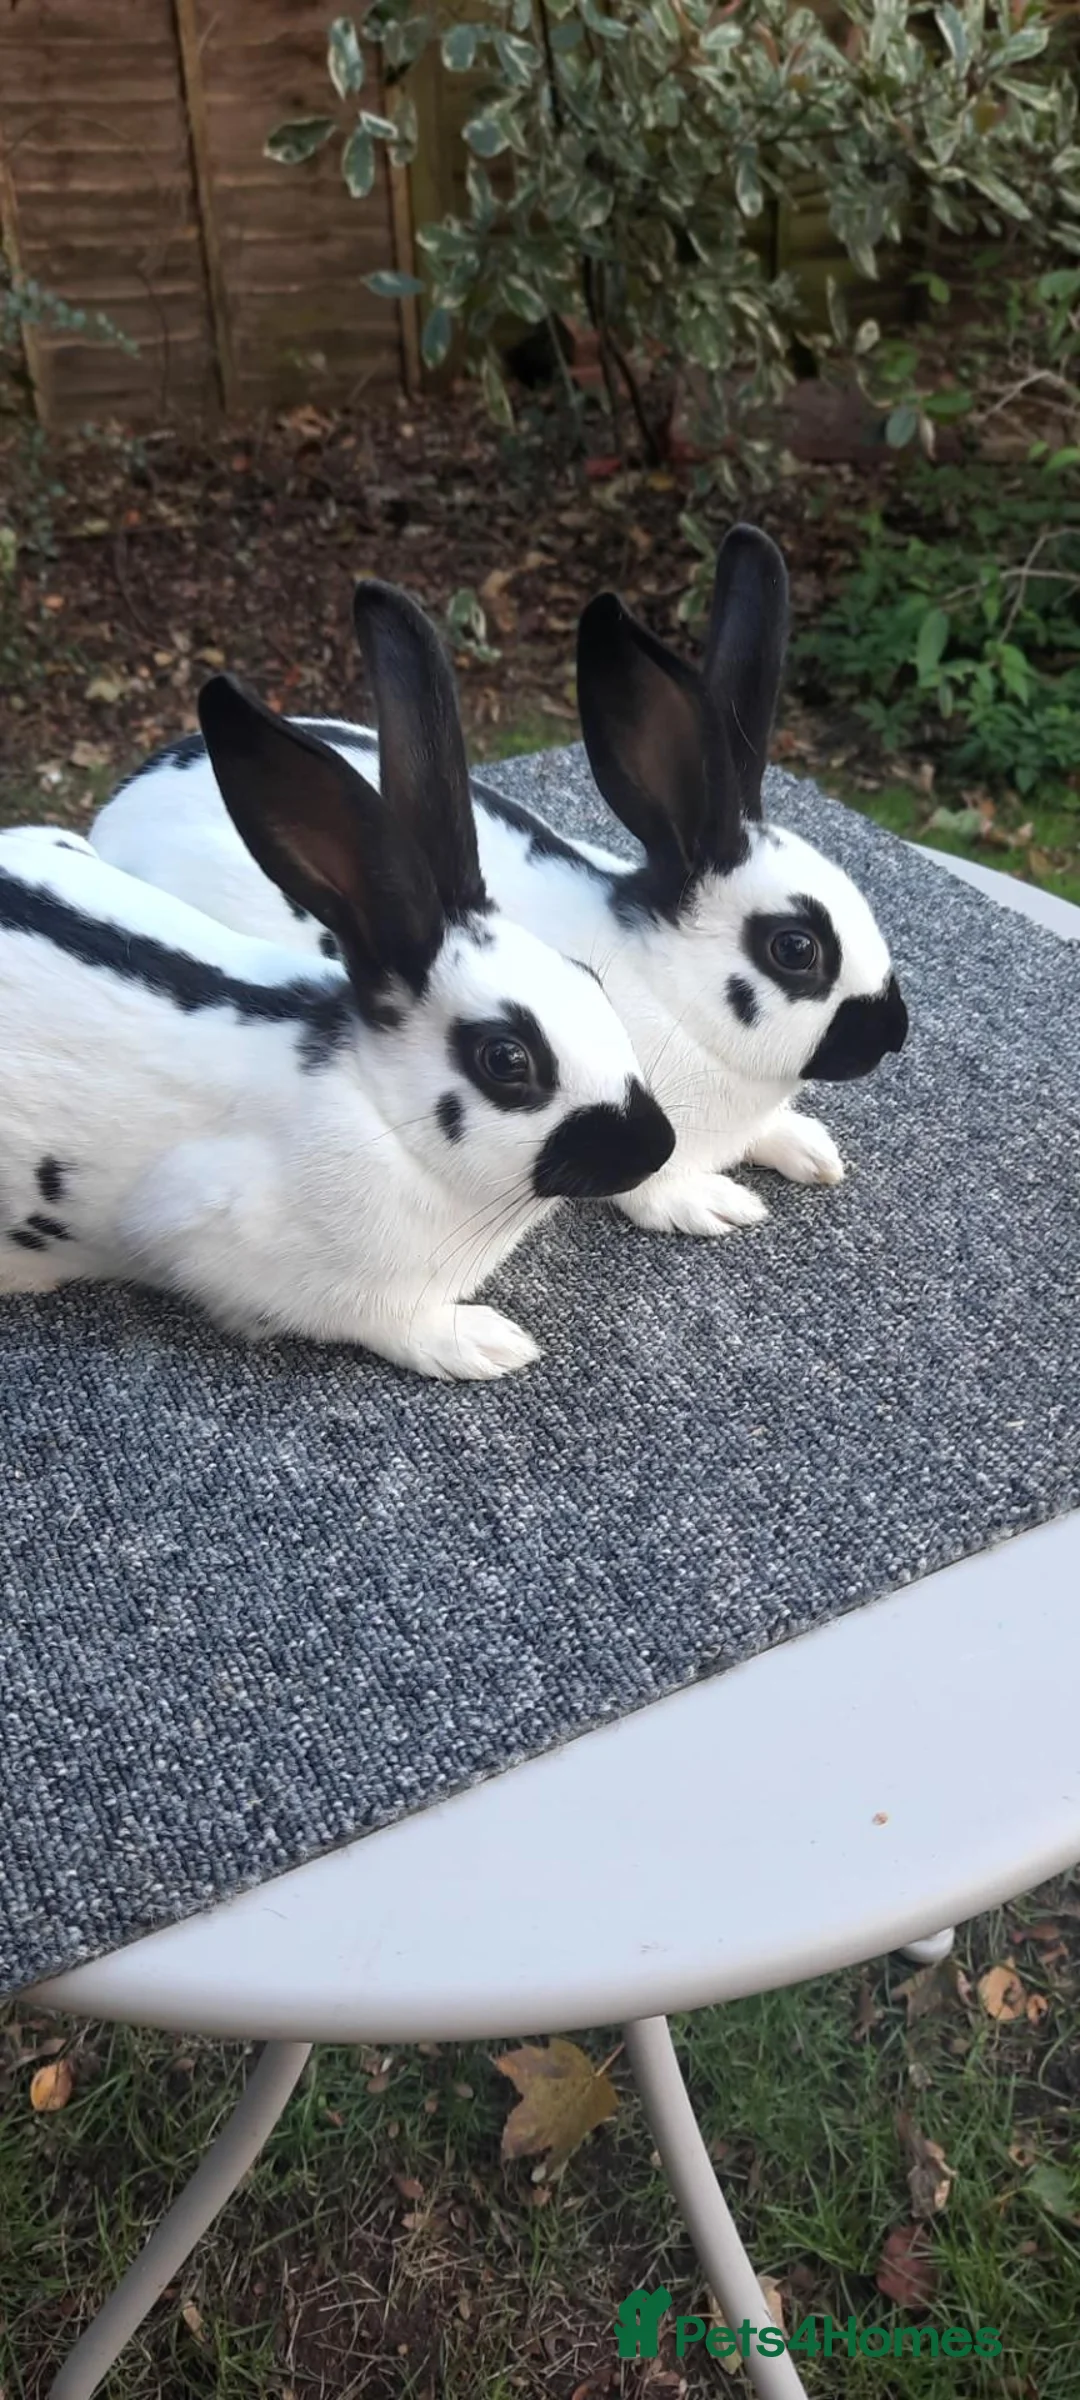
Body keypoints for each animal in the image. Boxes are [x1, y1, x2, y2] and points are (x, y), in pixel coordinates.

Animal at [0, 584, 674, 1379]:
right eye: (506, 1060)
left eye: (589, 978)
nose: (657, 1145)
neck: (383, 1117)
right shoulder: (219, 1243)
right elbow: (383, 1320)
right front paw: (483, 1343)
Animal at [92, 528, 907, 1241]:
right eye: (795, 949)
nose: (895, 1032)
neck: (674, 992)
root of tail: (118, 807)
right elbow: (652, 1185)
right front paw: (713, 1204)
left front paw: (811, 1150)